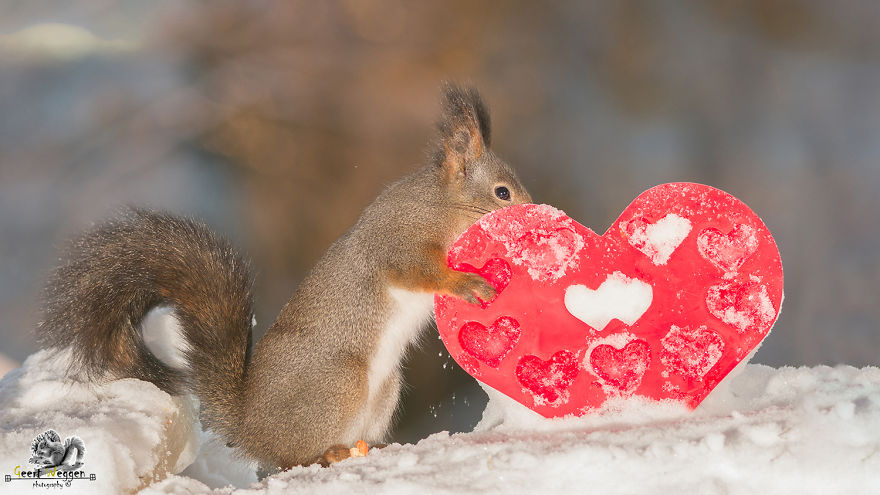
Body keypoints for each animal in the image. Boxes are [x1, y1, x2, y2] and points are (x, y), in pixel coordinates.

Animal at [36, 84, 531, 471]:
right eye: (502, 193)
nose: (533, 210)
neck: (443, 204)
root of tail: (249, 424)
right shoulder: (400, 238)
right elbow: (417, 269)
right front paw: (469, 284)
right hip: (338, 381)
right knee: (290, 457)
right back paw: (324, 454)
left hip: (383, 390)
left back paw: (371, 447)